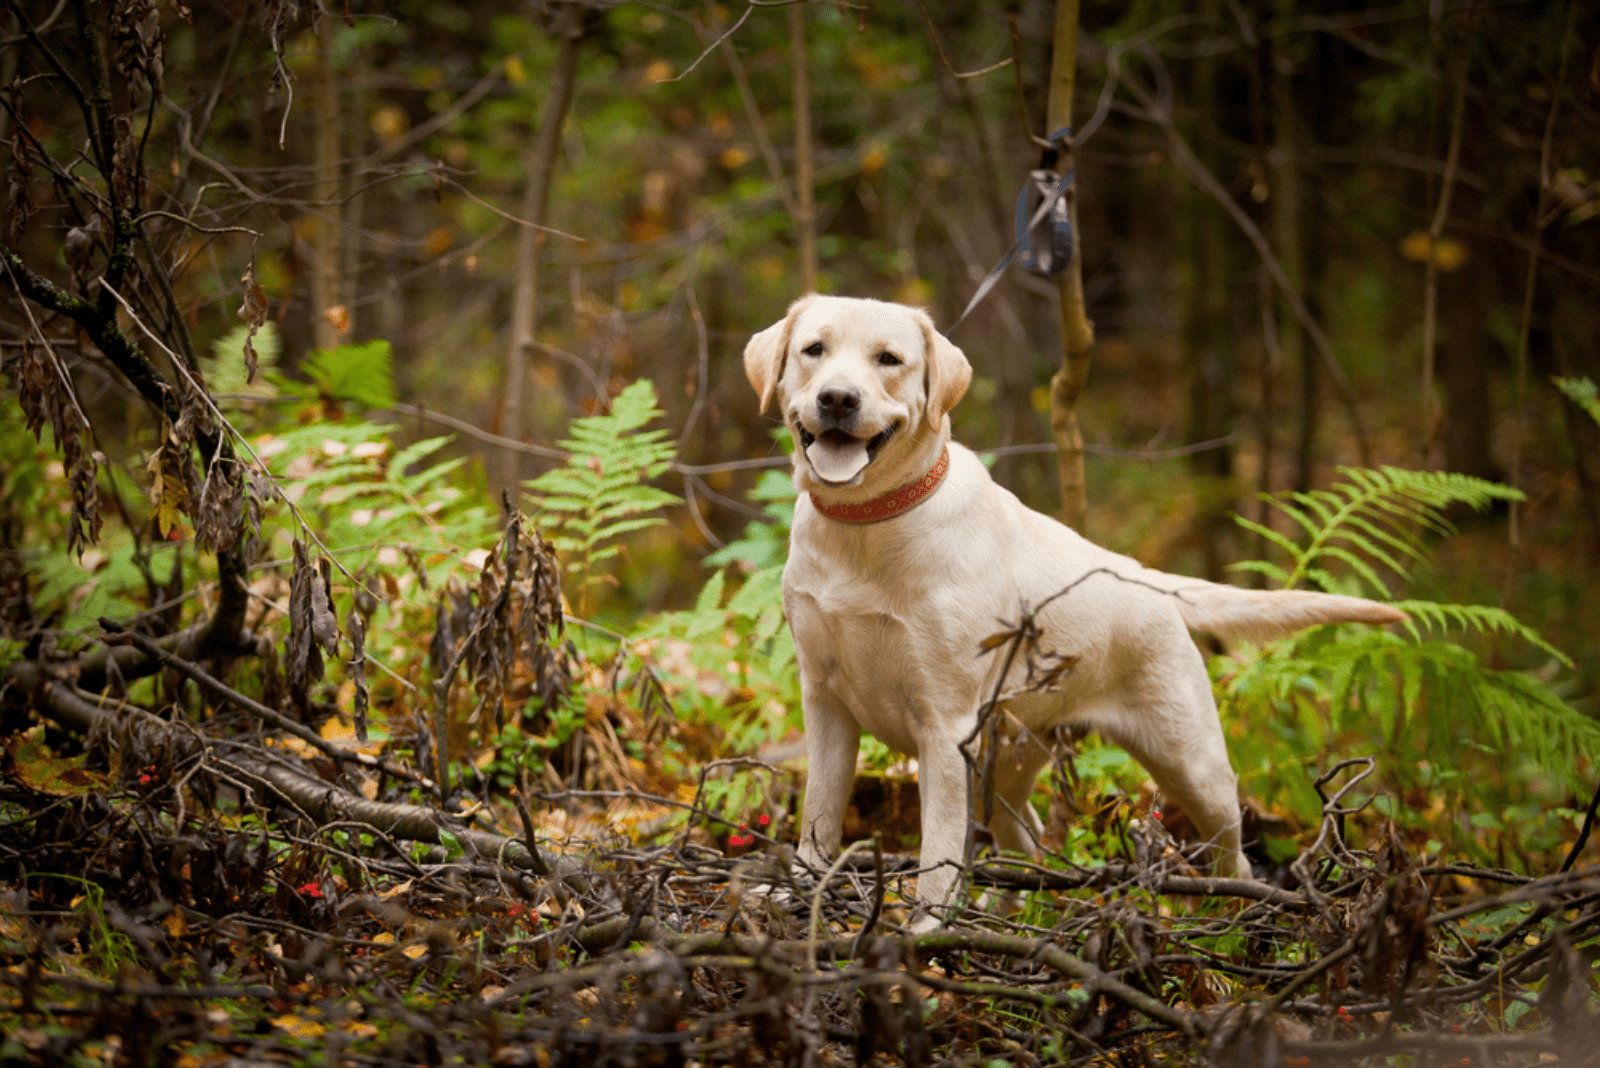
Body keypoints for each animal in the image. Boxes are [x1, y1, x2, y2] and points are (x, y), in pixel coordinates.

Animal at [739, 295, 1401, 920]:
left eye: (889, 359)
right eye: (815, 350)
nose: (838, 399)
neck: (865, 527)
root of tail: (1148, 577)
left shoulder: (945, 725)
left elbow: (939, 848)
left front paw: (924, 928)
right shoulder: (825, 701)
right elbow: (819, 816)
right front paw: (798, 895)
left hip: (1193, 765)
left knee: (1231, 851)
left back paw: (1235, 913)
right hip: (1006, 765)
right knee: (1026, 842)